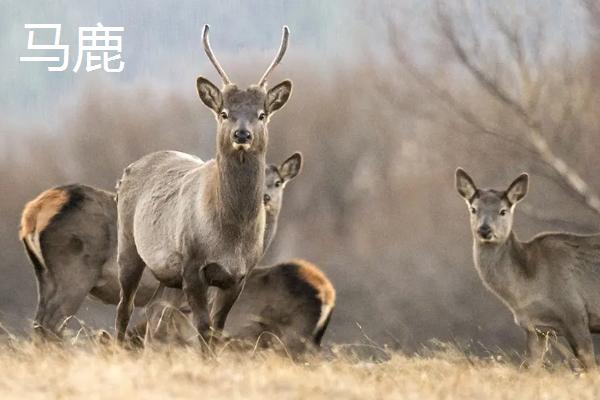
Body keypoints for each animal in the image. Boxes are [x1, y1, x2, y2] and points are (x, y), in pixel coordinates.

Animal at [113, 25, 292, 344]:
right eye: (224, 113)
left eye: (262, 114)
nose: (242, 134)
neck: (230, 237)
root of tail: (127, 172)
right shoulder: (192, 263)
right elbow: (204, 330)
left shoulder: (238, 276)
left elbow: (217, 330)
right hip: (128, 243)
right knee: (125, 306)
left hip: (166, 276)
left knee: (152, 313)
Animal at [454, 168, 600, 368]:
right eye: (473, 209)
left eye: (503, 211)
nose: (484, 230)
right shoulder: (535, 328)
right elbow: (530, 367)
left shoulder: (575, 312)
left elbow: (590, 367)